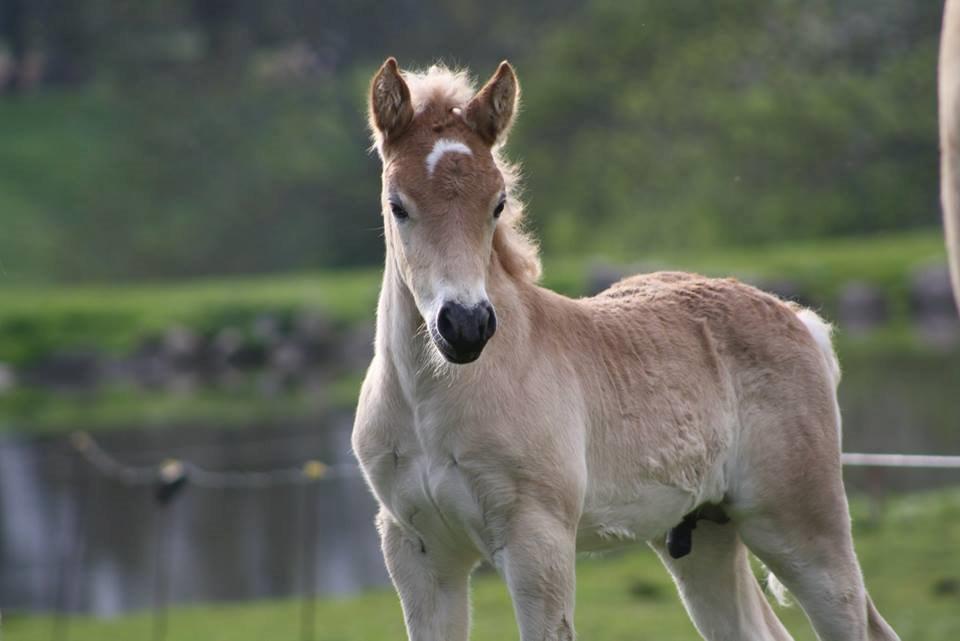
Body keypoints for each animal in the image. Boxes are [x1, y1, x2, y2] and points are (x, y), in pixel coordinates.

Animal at [352, 58, 900, 640]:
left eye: (497, 204)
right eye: (397, 205)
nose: (466, 325)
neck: (430, 405)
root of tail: (797, 318)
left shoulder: (537, 544)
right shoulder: (419, 554)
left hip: (803, 530)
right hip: (704, 536)